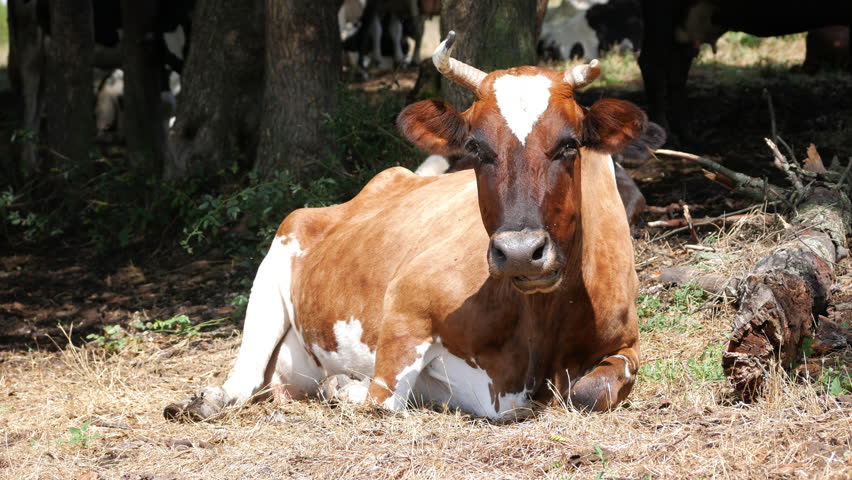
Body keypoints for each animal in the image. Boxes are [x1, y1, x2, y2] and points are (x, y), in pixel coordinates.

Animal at [164, 31, 643, 422]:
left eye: (570, 144)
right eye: (477, 148)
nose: (521, 252)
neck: (538, 326)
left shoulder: (627, 344)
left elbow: (590, 392)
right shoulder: (406, 305)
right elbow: (383, 397)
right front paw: (345, 386)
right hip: (273, 268)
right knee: (244, 380)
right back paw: (203, 401)